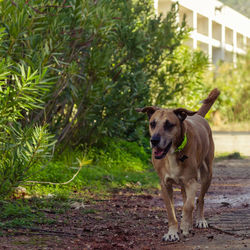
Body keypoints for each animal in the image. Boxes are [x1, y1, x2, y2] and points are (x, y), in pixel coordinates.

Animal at [136, 89, 220, 241]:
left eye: (169, 124)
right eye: (152, 123)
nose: (154, 140)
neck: (172, 154)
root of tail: (198, 116)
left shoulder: (192, 182)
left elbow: (189, 205)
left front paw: (185, 225)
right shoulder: (165, 185)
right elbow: (171, 211)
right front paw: (172, 232)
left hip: (207, 174)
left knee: (200, 199)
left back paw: (199, 220)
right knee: (186, 197)